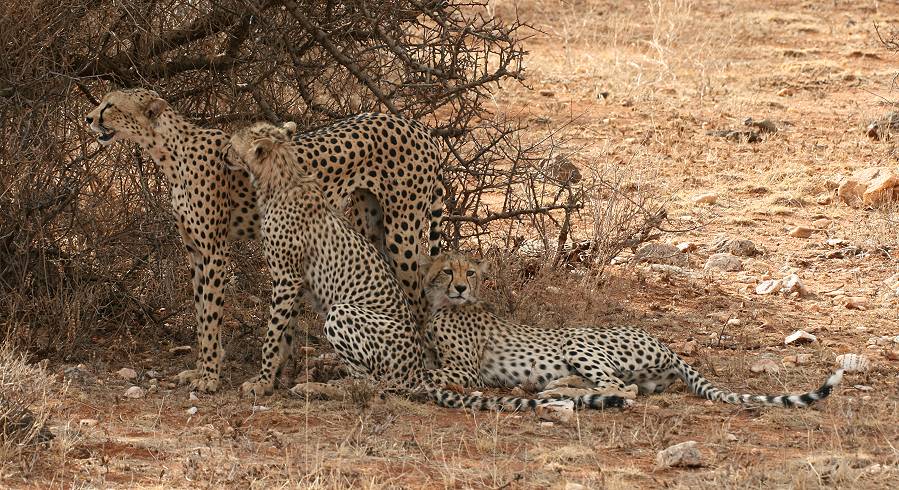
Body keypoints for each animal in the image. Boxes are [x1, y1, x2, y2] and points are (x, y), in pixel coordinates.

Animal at [86, 88, 444, 392]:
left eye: (110, 105)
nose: (89, 118)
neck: (170, 152)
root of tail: (417, 125)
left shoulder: (215, 252)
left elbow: (212, 315)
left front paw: (210, 377)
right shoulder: (195, 253)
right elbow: (201, 314)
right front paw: (202, 369)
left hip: (402, 232)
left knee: (420, 301)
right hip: (369, 227)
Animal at [229, 123, 628, 414]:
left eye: (236, 144)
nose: (226, 151)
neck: (282, 176)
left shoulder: (286, 277)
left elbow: (274, 332)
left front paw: (261, 381)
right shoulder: (294, 278)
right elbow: (285, 332)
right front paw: (277, 375)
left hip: (359, 293)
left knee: (377, 381)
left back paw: (325, 386)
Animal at [422, 251, 844, 408]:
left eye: (469, 273)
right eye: (447, 271)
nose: (460, 287)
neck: (442, 305)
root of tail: (667, 346)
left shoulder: (467, 369)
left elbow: (432, 372)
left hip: (579, 342)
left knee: (620, 388)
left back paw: (559, 391)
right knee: (619, 387)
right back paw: (556, 387)